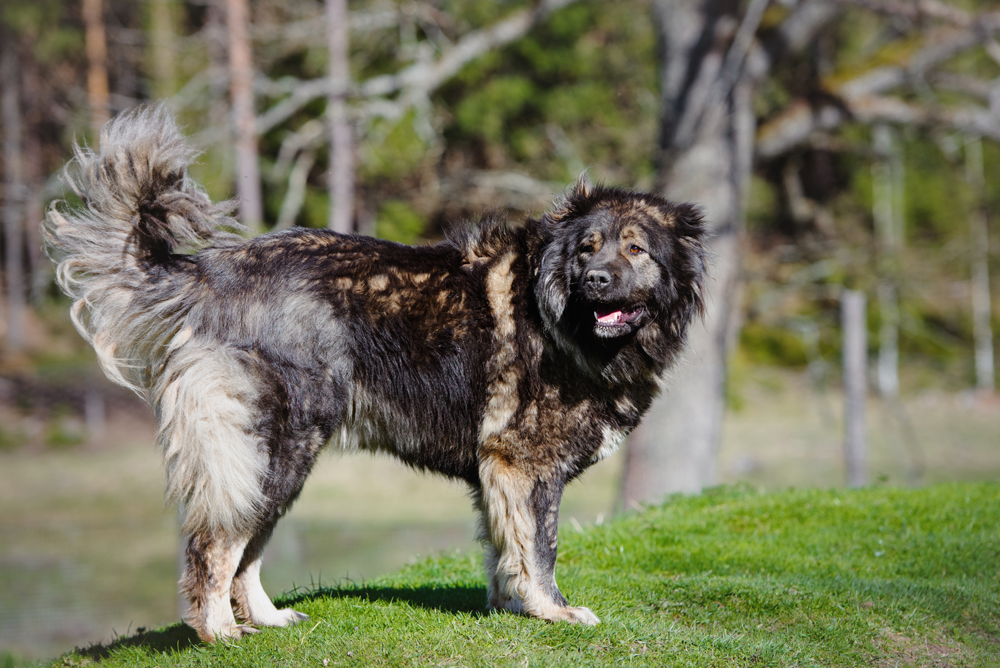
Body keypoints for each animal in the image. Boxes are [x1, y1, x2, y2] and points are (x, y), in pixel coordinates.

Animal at [41, 108, 712, 640]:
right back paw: (220, 632)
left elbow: (504, 550)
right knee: (216, 546)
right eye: (587, 248)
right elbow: (540, 549)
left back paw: (268, 620)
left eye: (635, 249)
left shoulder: (498, 473)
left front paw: (511, 608)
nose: (595, 280)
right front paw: (555, 612)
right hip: (270, 452)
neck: (559, 318)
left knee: (246, 551)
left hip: (284, 461)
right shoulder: (526, 465)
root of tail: (211, 274)